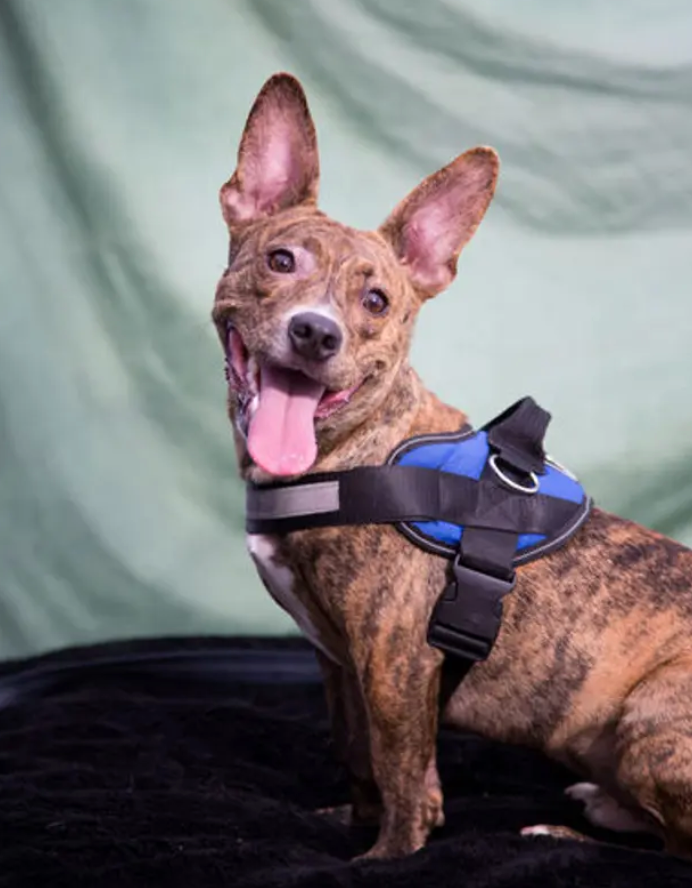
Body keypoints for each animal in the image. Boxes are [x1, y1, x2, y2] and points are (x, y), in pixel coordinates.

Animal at [209, 73, 692, 864]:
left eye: (376, 301)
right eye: (281, 261)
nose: (316, 333)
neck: (355, 448)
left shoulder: (395, 663)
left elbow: (402, 774)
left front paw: (386, 857)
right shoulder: (341, 664)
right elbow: (357, 754)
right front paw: (350, 821)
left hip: (652, 719)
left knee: (679, 846)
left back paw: (567, 833)